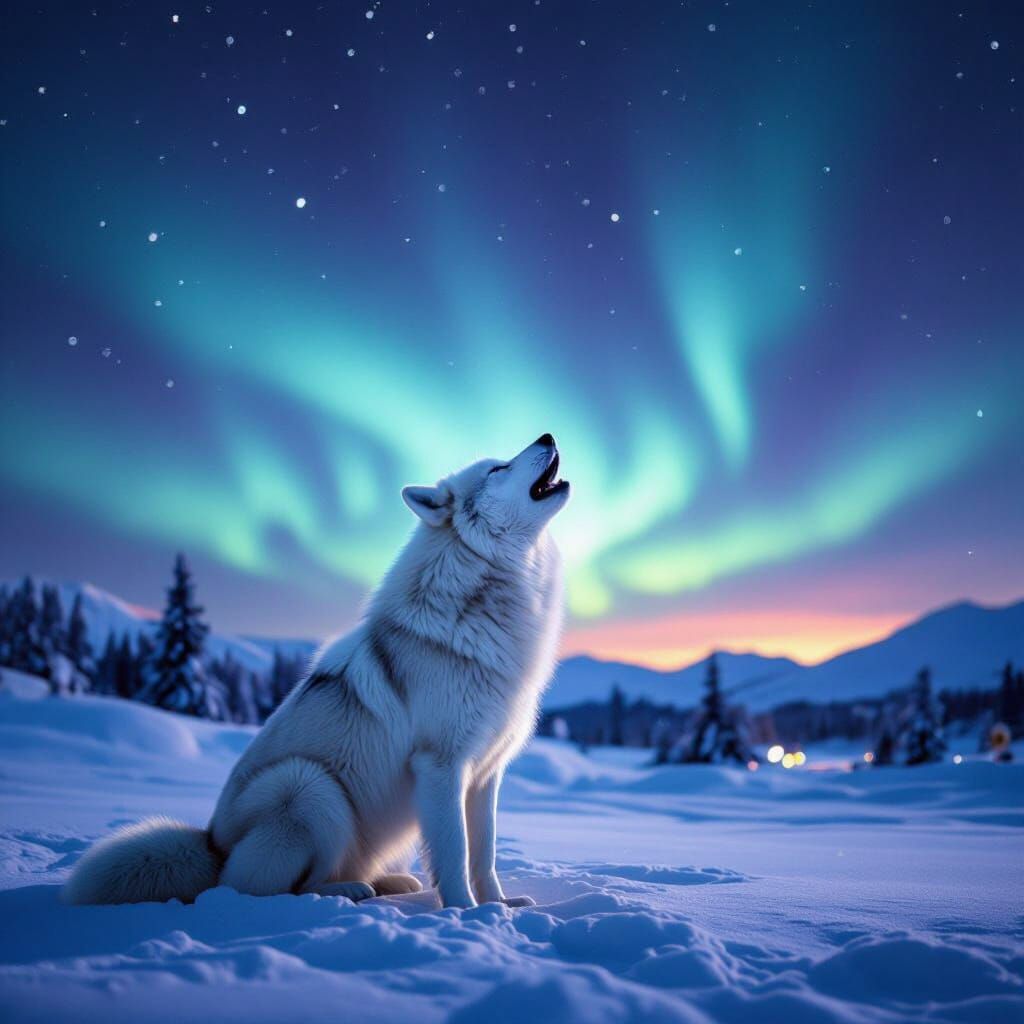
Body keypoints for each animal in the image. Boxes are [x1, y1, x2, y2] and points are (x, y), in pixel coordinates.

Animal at [64, 434, 570, 908]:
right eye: (497, 468)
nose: (547, 436)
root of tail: (211, 846)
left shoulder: (485, 774)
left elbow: (484, 853)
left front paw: (500, 907)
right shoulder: (441, 765)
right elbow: (455, 852)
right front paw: (465, 912)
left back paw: (387, 883)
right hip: (308, 787)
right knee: (277, 888)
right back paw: (347, 890)